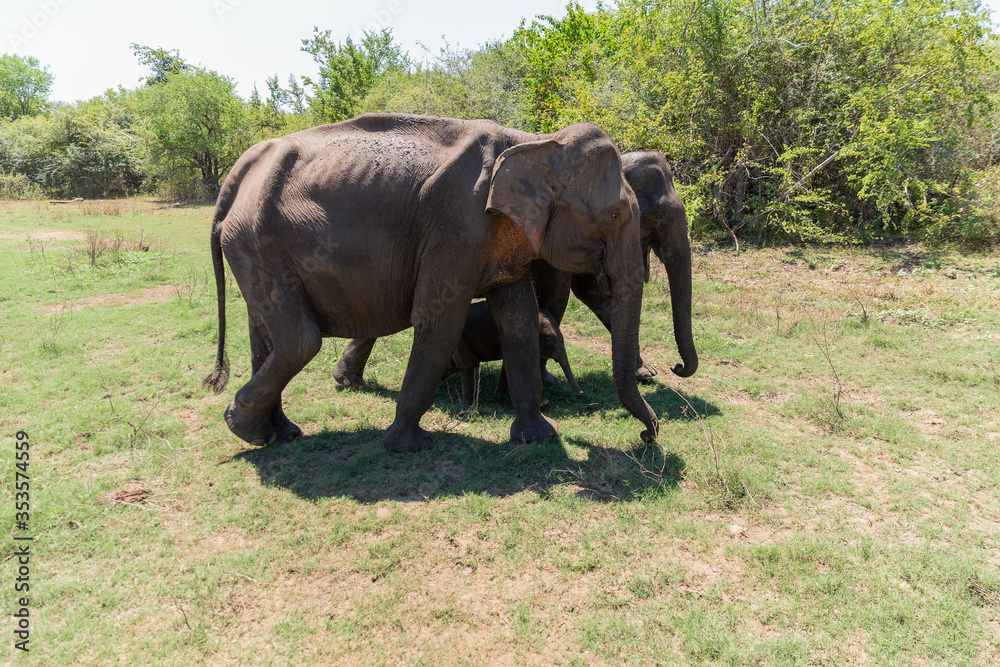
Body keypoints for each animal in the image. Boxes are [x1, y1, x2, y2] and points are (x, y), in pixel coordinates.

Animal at [333, 150, 698, 393]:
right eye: (659, 215)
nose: (676, 367)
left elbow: (593, 293)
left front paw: (645, 374)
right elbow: (558, 296)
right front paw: (544, 381)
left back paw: (349, 380)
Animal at [447, 301, 582, 406]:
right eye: (548, 340)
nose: (581, 393)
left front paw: (500, 394)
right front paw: (542, 403)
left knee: (453, 366)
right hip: (459, 338)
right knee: (469, 365)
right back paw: (473, 404)